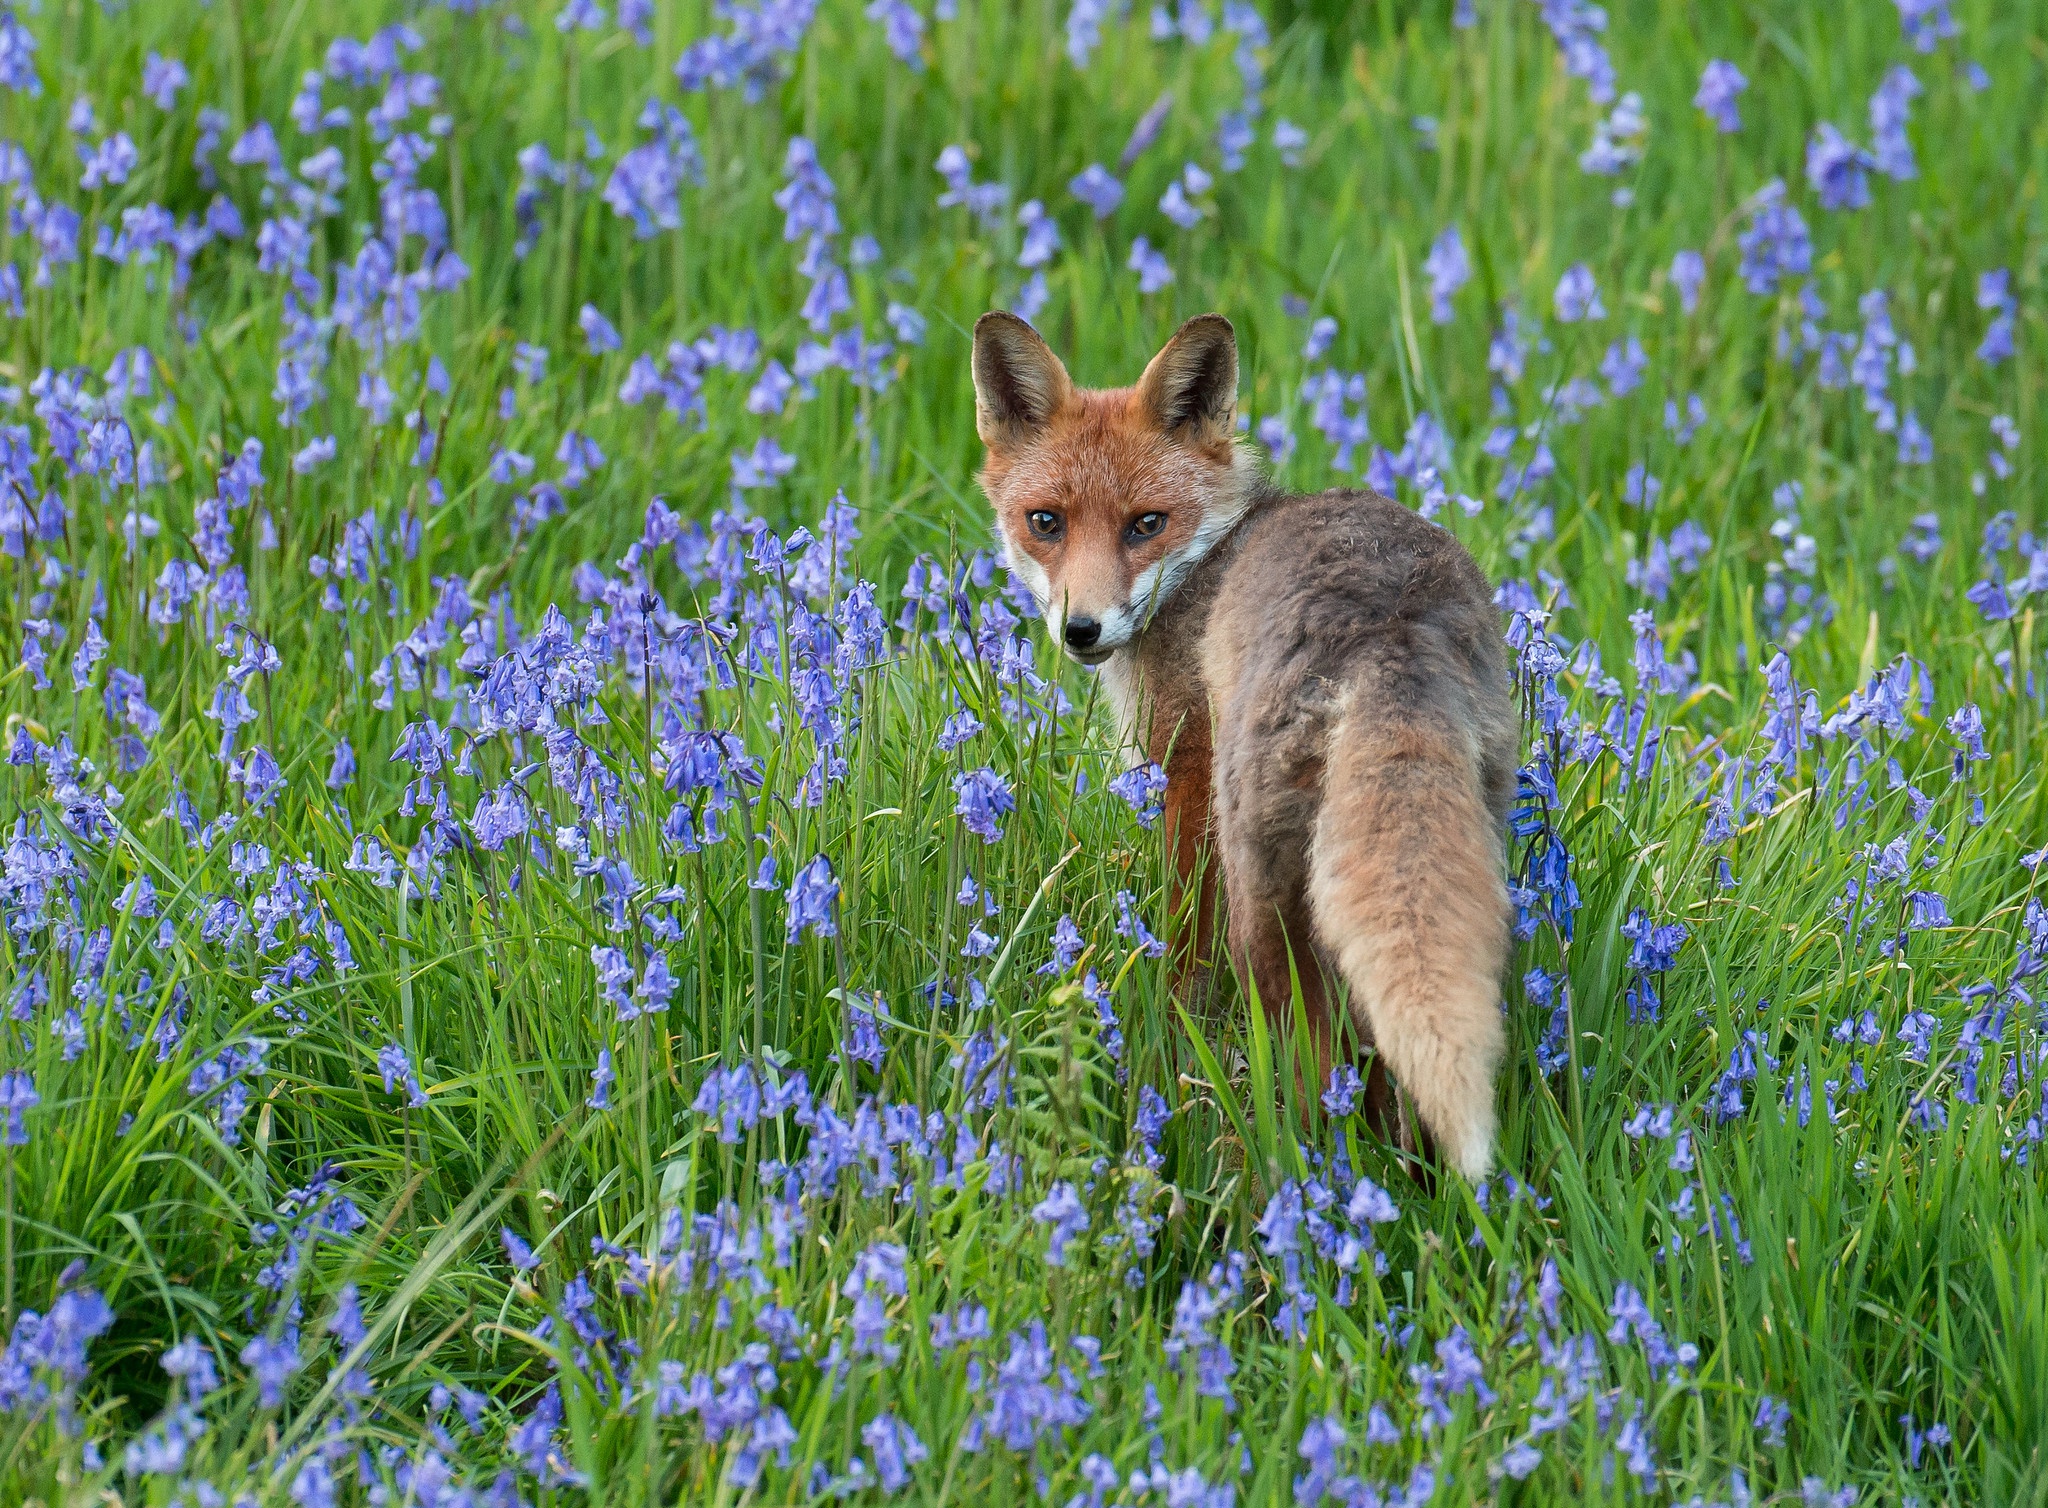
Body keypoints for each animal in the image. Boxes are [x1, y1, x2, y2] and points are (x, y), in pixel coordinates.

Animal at [966, 307, 1515, 1180]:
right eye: (1045, 522)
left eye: (1146, 525)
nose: (1081, 630)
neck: (1205, 568)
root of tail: (1385, 626)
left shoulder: (1186, 774)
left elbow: (1180, 949)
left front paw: (1165, 1027)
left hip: (1263, 899)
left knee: (1318, 1063)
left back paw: (1299, 1168)